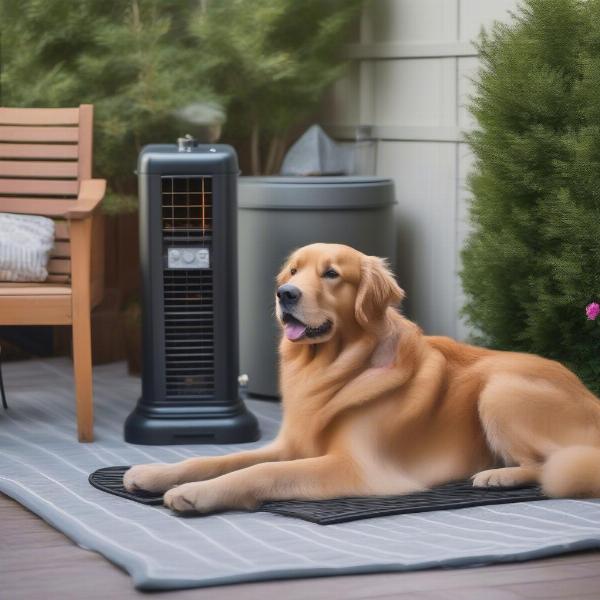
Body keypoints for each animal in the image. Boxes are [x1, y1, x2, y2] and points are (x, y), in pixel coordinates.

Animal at [122, 241, 600, 512]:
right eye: (293, 271)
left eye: (332, 274)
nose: (284, 294)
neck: (334, 369)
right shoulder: (291, 445)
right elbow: (217, 459)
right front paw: (156, 474)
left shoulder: (355, 468)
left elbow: (259, 473)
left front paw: (196, 493)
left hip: (500, 390)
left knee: (547, 466)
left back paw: (497, 476)